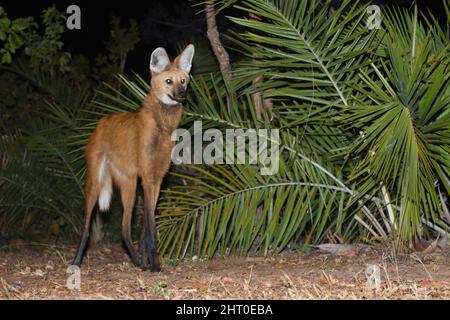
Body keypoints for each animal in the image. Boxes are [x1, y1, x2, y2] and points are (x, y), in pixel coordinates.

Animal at [73, 43, 194, 272]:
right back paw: (76, 262)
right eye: (169, 81)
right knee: (86, 227)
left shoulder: (157, 180)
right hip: (95, 182)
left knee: (124, 230)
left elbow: (146, 228)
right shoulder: (147, 178)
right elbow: (151, 227)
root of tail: (101, 122)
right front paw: (155, 265)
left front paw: (148, 263)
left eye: (183, 80)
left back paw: (138, 262)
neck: (163, 128)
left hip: (128, 184)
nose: (182, 94)